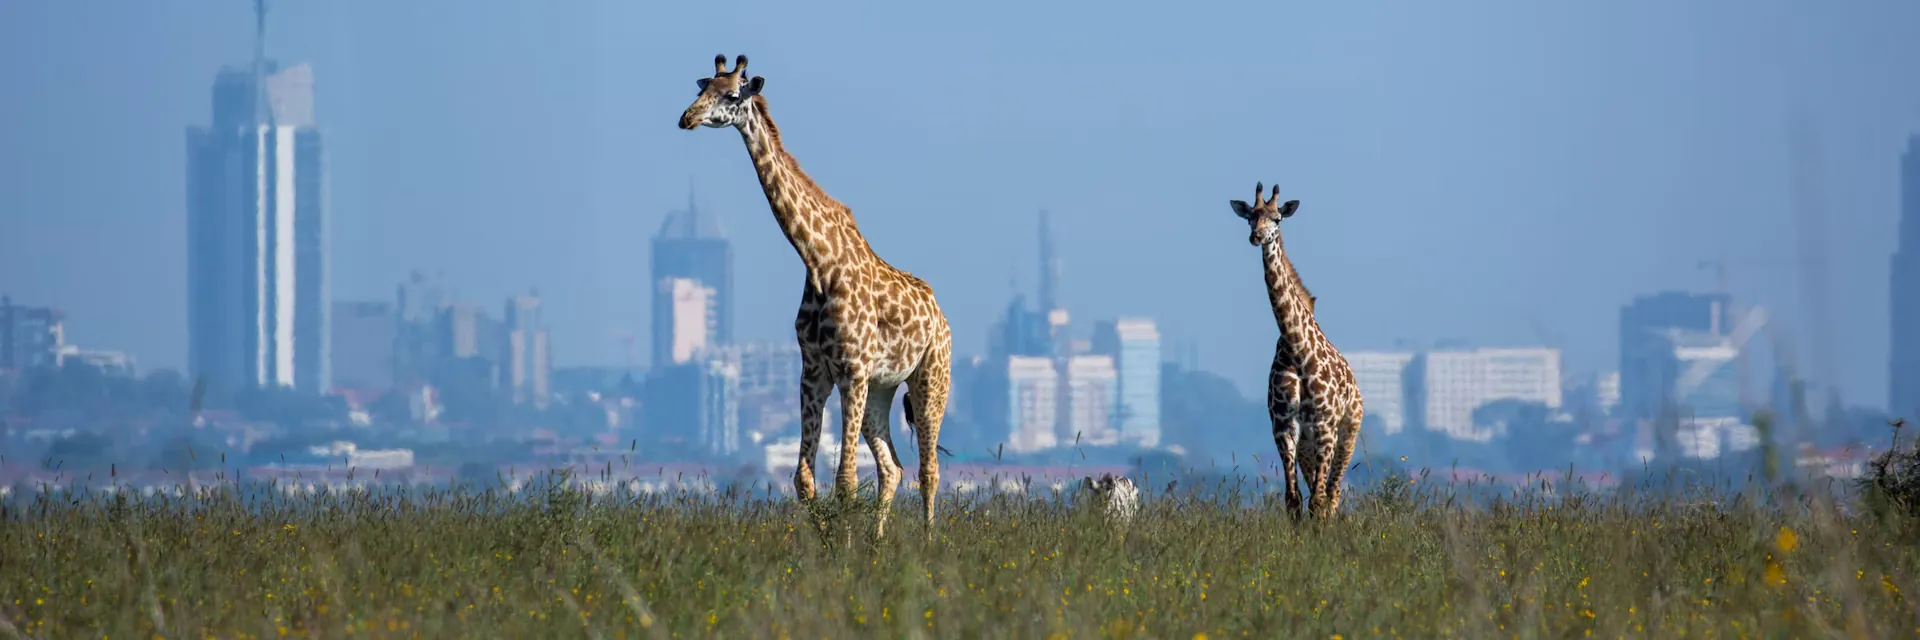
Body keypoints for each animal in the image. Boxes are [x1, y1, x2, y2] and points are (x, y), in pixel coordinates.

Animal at [680, 55, 953, 540]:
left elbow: (845, 480)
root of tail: (941, 315)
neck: (818, 261)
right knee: (893, 468)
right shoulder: (814, 374)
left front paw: (843, 550)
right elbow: (804, 480)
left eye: (730, 94)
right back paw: (878, 542)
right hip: (882, 389)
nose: (686, 118)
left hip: (930, 378)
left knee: (929, 470)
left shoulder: (851, 371)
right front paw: (829, 546)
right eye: (701, 88)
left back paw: (927, 542)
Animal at [1227, 182, 1364, 520]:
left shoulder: (1325, 427)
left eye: (1277, 218)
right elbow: (1293, 499)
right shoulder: (1284, 427)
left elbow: (1318, 500)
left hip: (1348, 432)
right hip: (1308, 445)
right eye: (1250, 217)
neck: (1297, 348)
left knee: (1332, 493)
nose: (1256, 237)